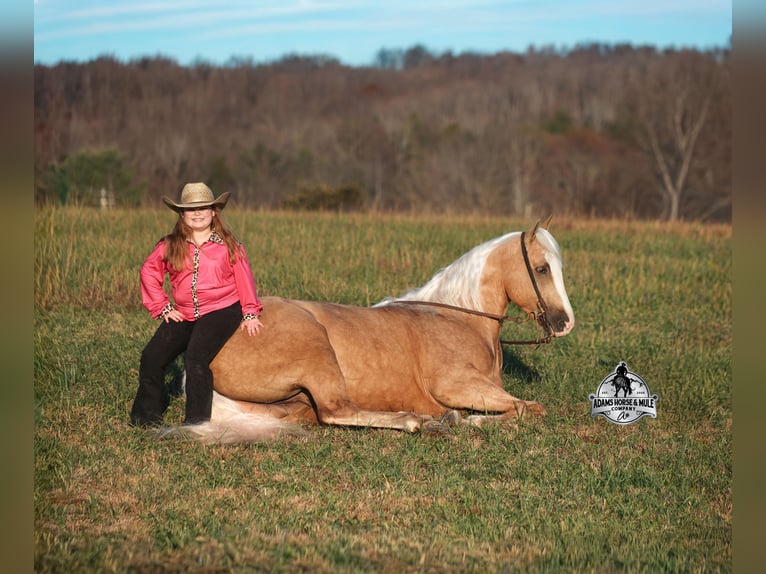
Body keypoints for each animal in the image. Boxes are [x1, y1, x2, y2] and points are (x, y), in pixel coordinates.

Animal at [169, 221, 574, 443]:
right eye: (541, 269)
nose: (564, 322)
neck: (458, 317)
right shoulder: (457, 384)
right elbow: (530, 408)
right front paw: (465, 419)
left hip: (290, 407)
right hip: (318, 354)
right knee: (336, 411)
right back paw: (417, 421)